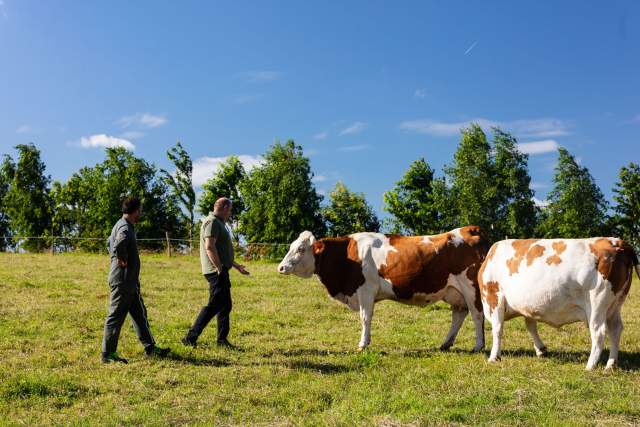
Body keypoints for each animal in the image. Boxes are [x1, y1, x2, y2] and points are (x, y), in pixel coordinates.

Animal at [276, 226, 490, 352]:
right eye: (291, 246)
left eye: (301, 249)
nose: (281, 267)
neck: (346, 256)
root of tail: (469, 229)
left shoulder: (366, 291)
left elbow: (365, 317)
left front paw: (363, 344)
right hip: (454, 291)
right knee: (459, 315)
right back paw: (446, 343)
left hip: (471, 288)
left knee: (477, 315)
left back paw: (478, 346)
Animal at [480, 237, 640, 372]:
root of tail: (616, 241)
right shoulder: (529, 306)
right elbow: (530, 325)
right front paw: (541, 349)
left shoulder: (493, 298)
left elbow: (497, 330)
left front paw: (494, 357)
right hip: (615, 304)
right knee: (616, 329)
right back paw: (611, 365)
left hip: (597, 303)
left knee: (598, 332)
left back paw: (590, 366)